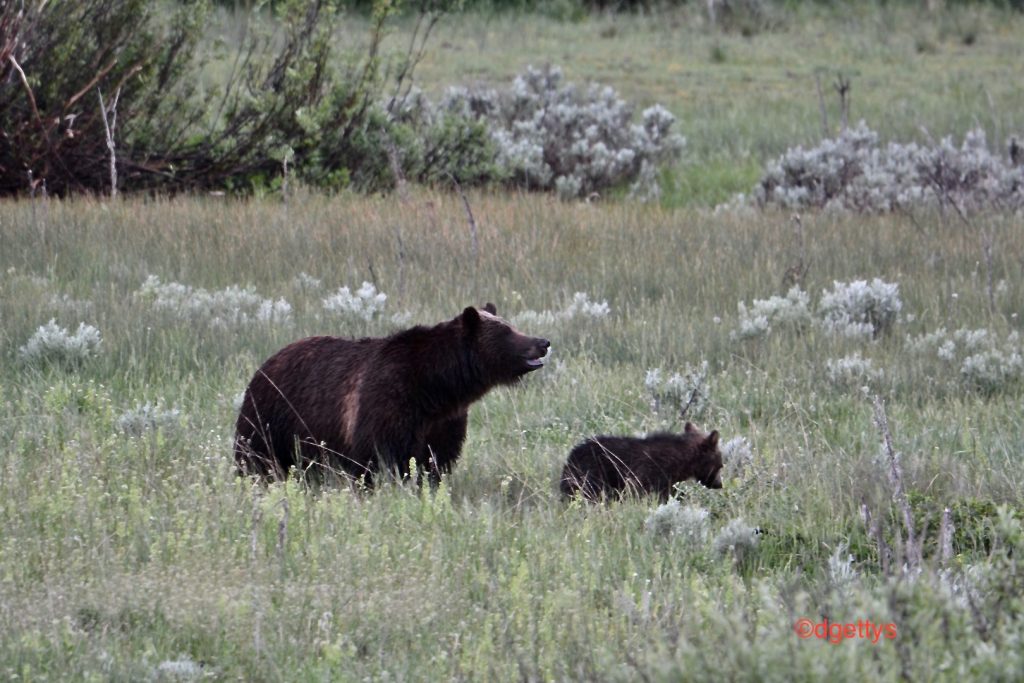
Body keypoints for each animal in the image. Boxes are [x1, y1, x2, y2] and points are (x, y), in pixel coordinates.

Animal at [234, 304, 550, 486]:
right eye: (507, 331)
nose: (543, 342)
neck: (436, 388)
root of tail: (266, 363)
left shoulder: (443, 423)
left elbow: (434, 462)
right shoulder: (386, 402)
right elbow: (378, 459)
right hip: (270, 417)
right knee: (254, 457)